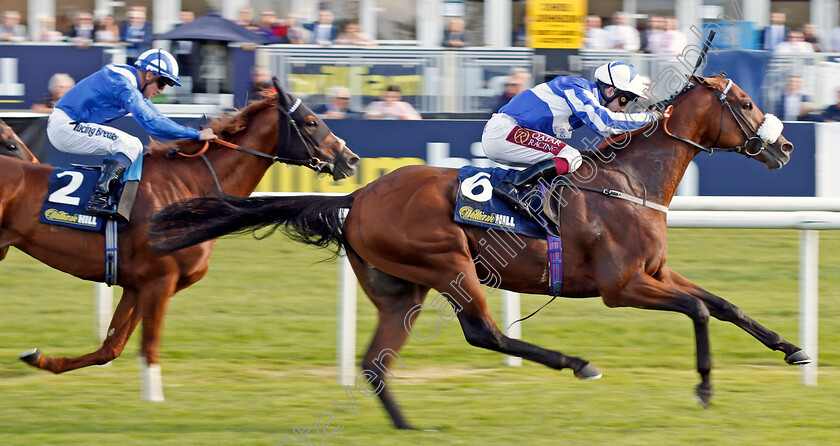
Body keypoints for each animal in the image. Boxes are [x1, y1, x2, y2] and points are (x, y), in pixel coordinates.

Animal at [8, 81, 360, 398]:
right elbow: (148, 348)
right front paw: (154, 403)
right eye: (311, 121)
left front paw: (41, 359)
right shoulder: (159, 280)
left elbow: (111, 346)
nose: (351, 159)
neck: (188, 187)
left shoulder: (139, 285)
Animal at [149, 76, 808, 428]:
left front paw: (794, 350)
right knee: (483, 333)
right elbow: (698, 311)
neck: (629, 180)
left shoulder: (657, 271)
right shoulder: (623, 289)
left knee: (376, 361)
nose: (786, 148)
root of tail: (359, 195)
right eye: (745, 103)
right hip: (449, 264)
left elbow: (723, 304)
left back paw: (407, 427)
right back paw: (577, 363)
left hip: (401, 288)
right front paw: (704, 388)